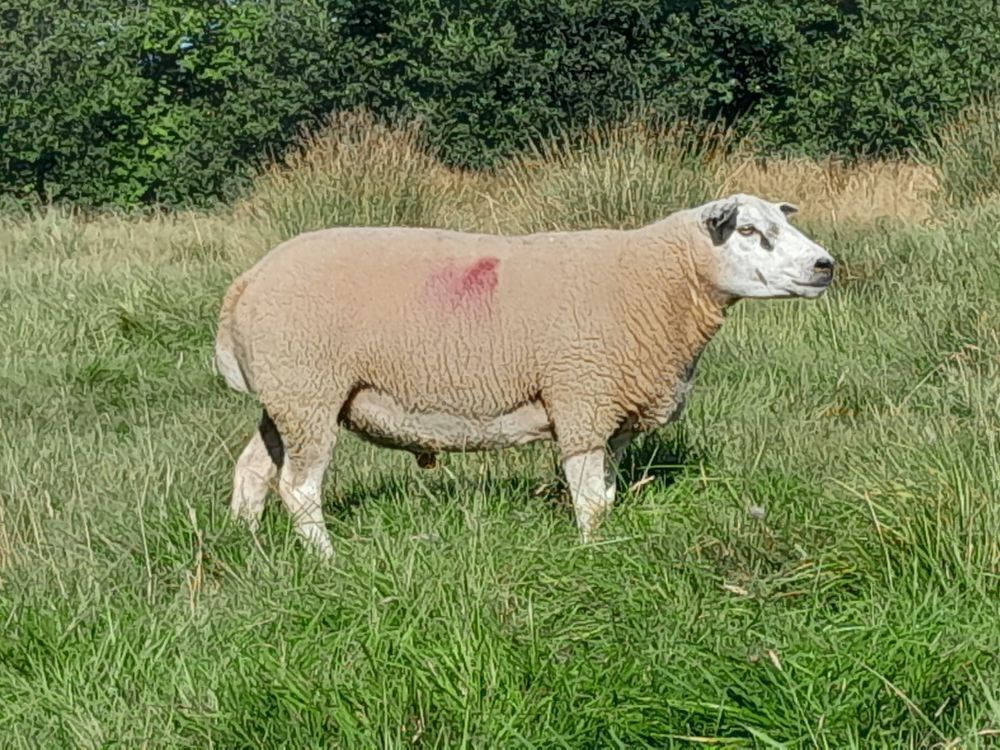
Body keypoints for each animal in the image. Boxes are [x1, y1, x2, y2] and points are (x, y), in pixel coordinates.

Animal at [214, 193, 835, 557]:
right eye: (748, 231)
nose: (825, 265)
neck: (658, 281)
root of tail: (245, 284)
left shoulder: (611, 415)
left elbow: (608, 492)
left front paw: (604, 545)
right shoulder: (581, 394)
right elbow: (592, 499)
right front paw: (592, 554)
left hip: (285, 400)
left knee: (253, 471)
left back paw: (246, 542)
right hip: (310, 390)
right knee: (298, 488)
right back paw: (327, 559)